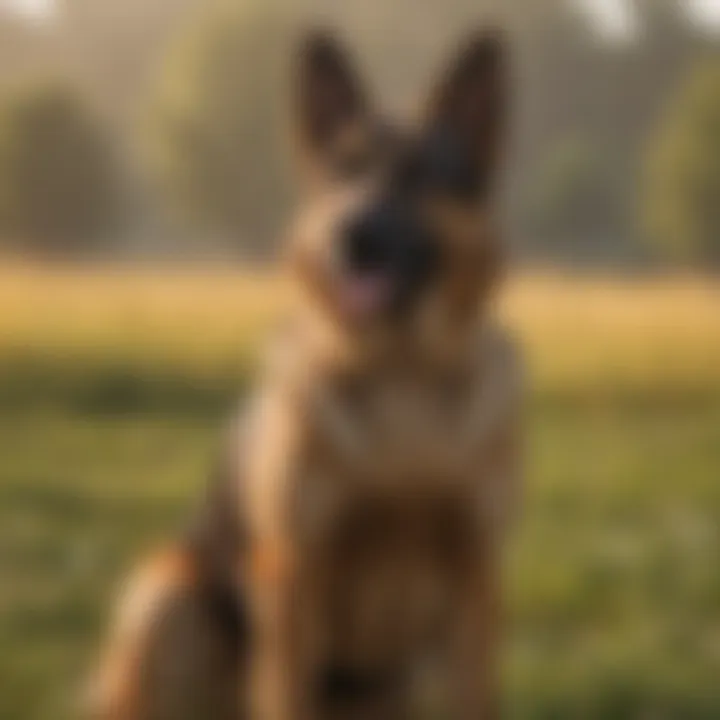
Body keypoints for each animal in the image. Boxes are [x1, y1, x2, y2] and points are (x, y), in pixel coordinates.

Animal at [90, 26, 524, 720]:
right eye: (343, 170)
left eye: (418, 174)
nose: (352, 235)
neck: (400, 374)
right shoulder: (293, 578)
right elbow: (287, 693)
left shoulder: (475, 583)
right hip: (170, 596)